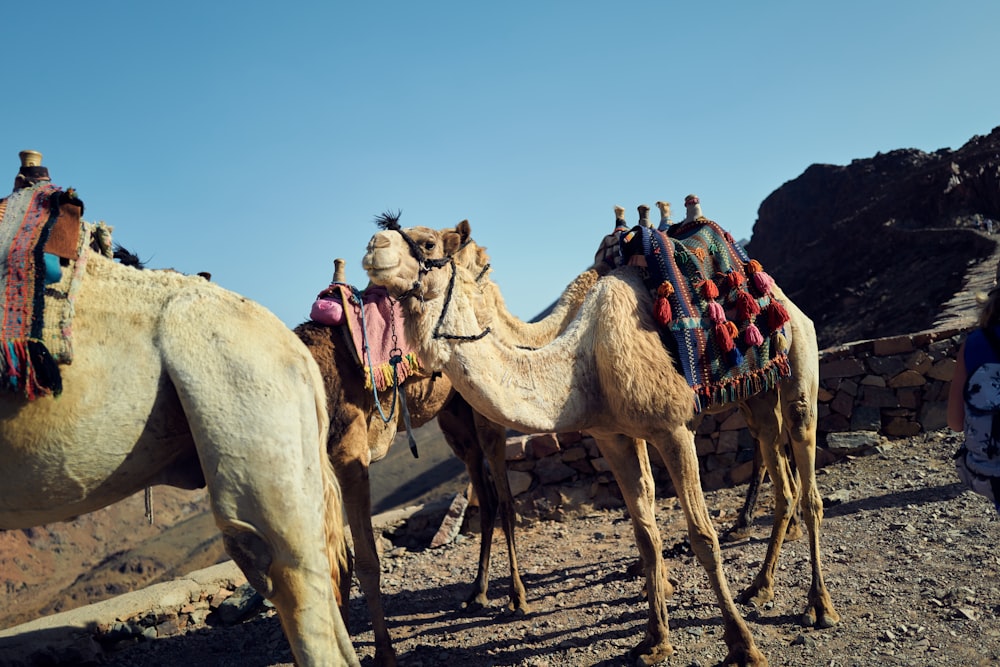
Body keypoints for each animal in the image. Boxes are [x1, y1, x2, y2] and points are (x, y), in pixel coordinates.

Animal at [292, 247, 596, 667]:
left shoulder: (352, 458)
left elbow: (367, 560)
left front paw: (384, 652)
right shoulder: (325, 469)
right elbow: (336, 562)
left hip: (487, 410)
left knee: (504, 500)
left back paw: (517, 598)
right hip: (455, 417)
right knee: (485, 494)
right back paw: (476, 594)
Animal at [364, 219, 840, 667]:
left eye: (427, 243)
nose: (373, 246)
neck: (583, 358)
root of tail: (778, 293)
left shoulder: (673, 429)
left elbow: (703, 537)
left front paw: (743, 646)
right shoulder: (612, 435)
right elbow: (645, 534)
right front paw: (654, 640)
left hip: (798, 366)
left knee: (809, 483)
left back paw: (819, 607)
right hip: (757, 397)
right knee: (783, 481)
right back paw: (760, 587)